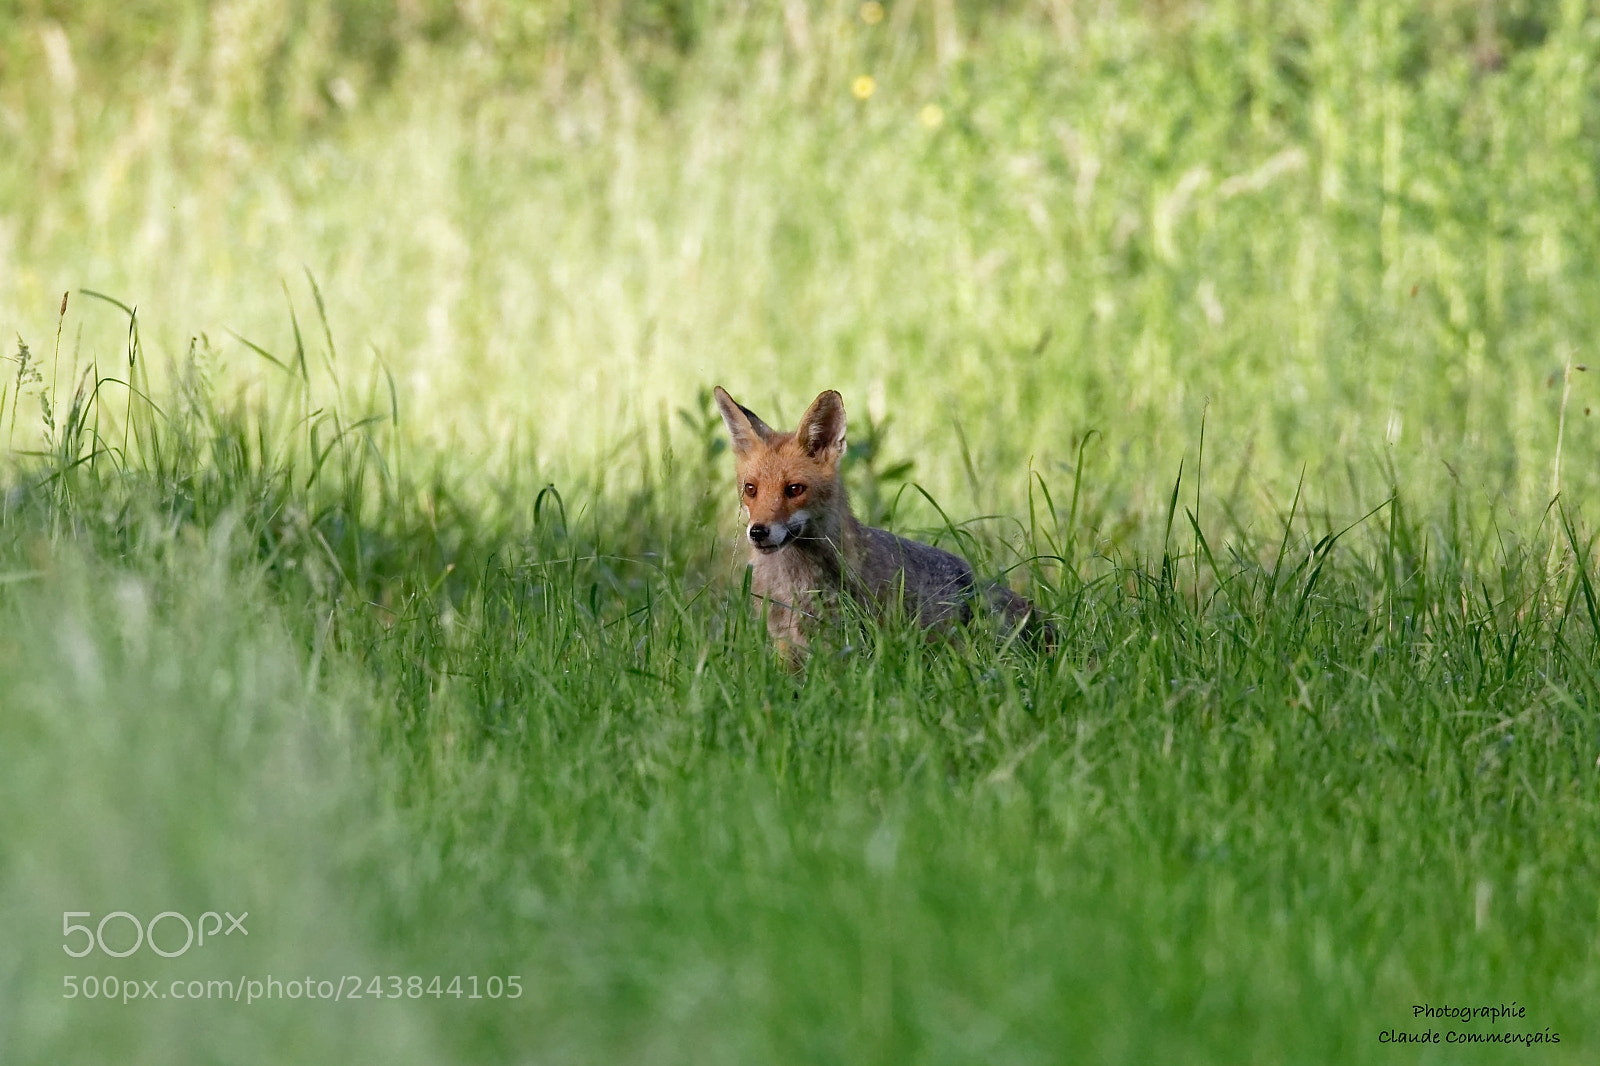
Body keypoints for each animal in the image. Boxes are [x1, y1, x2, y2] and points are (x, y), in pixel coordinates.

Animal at [713, 385, 1051, 668]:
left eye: (794, 489)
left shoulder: (847, 639)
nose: (758, 531)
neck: (795, 582)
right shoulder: (784, 640)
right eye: (750, 489)